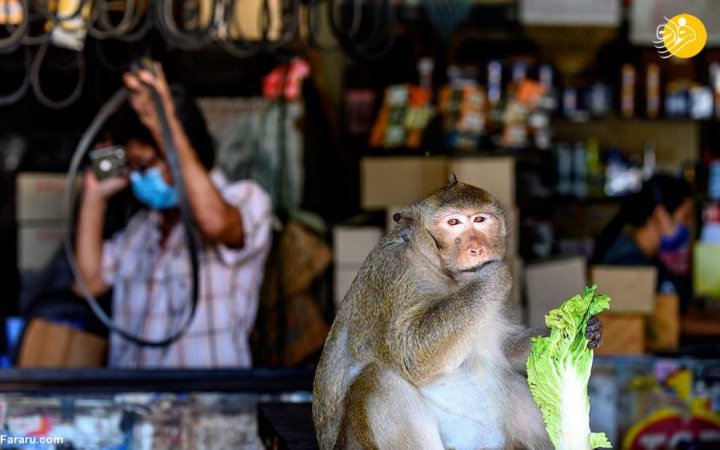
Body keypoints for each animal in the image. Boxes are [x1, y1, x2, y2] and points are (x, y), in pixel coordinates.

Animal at [314, 178, 600, 448]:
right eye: (453, 222)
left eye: (480, 219)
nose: (477, 249)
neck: (443, 272)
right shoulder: (395, 276)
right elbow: (410, 353)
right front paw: (492, 274)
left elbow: (505, 349)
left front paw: (585, 329)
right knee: (378, 379)